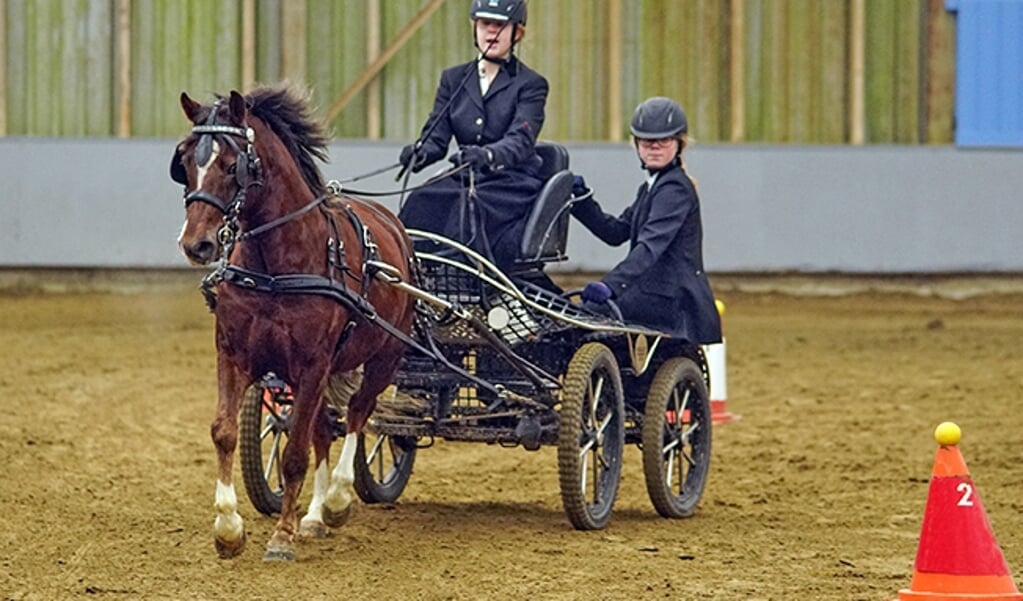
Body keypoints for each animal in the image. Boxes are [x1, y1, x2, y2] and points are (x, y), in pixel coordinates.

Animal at [171, 83, 415, 561]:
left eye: (231, 165)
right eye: (185, 161)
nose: (196, 244)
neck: (275, 266)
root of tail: (393, 225)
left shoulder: (312, 365)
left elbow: (295, 453)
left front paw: (282, 537)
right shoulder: (234, 356)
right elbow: (225, 432)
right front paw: (228, 528)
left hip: (384, 358)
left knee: (359, 414)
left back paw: (336, 500)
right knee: (324, 428)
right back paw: (315, 516)